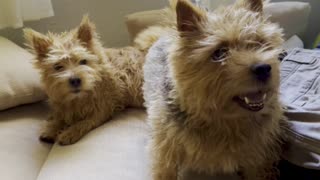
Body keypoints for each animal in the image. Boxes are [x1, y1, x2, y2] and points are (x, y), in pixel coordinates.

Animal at [25, 16, 145, 146]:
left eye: (83, 61)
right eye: (58, 66)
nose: (75, 80)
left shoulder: (103, 109)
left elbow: (84, 122)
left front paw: (70, 133)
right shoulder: (63, 106)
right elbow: (59, 117)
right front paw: (51, 128)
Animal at [142, 0, 284, 179]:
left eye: (259, 43)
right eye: (219, 53)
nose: (264, 68)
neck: (224, 121)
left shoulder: (257, 155)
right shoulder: (166, 149)